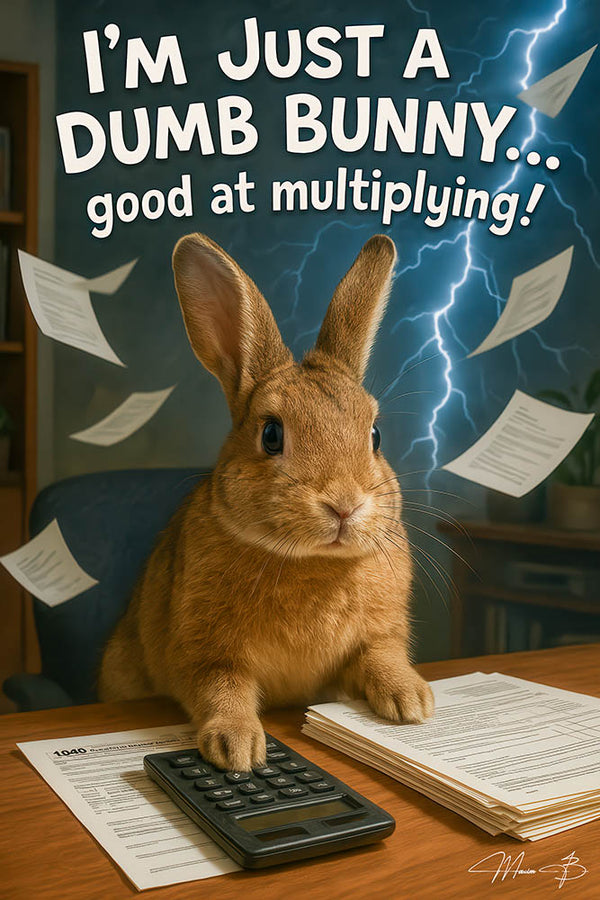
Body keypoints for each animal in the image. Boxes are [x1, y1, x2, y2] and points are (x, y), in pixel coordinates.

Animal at [98, 232, 434, 771]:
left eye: (376, 435)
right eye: (272, 435)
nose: (344, 505)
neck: (311, 563)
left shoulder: (376, 639)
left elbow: (381, 657)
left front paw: (412, 701)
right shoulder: (205, 654)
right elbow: (223, 688)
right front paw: (236, 747)